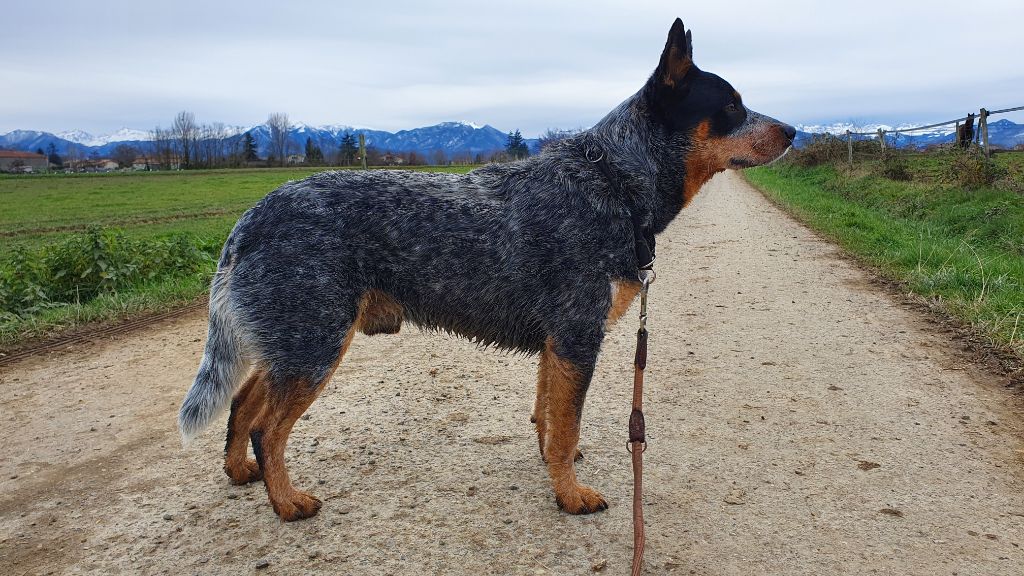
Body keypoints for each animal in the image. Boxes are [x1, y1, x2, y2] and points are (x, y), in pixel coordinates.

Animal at [180, 17, 794, 520]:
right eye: (732, 105)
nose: (791, 132)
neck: (615, 180)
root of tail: (250, 219)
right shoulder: (577, 336)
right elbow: (565, 423)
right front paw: (571, 496)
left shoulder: (558, 342)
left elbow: (550, 419)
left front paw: (556, 470)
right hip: (315, 342)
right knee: (267, 426)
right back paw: (285, 501)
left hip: (295, 340)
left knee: (243, 401)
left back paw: (241, 472)